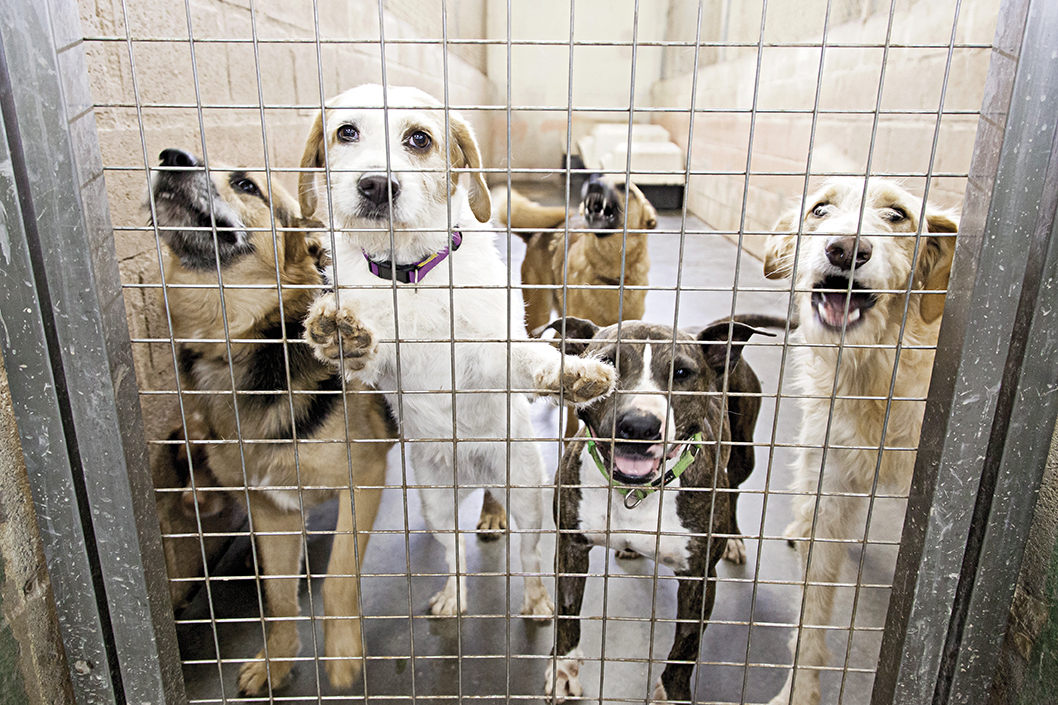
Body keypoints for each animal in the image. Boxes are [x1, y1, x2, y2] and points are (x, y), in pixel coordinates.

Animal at [151, 148, 395, 690]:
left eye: (246, 184)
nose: (171, 157)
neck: (237, 345)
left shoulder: (364, 478)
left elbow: (338, 580)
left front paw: (342, 653)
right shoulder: (270, 504)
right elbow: (279, 597)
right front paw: (277, 659)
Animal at [296, 85, 613, 618]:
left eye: (420, 138)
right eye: (346, 132)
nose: (376, 185)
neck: (414, 275)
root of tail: (470, 474)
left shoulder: (489, 352)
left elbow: (530, 360)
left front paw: (570, 373)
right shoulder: (384, 360)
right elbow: (364, 347)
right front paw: (340, 333)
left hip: (526, 495)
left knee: (529, 555)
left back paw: (537, 598)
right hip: (436, 503)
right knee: (455, 553)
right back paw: (454, 595)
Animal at [537, 313, 778, 702]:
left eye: (682, 373)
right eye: (607, 363)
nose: (639, 426)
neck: (636, 493)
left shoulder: (699, 577)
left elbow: (686, 646)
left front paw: (671, 691)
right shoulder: (571, 547)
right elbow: (567, 615)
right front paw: (562, 671)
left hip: (745, 454)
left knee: (736, 486)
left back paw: (735, 538)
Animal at [761, 176, 960, 702]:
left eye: (897, 216)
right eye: (820, 209)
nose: (847, 249)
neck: (875, 370)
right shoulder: (830, 481)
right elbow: (811, 613)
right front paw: (800, 690)